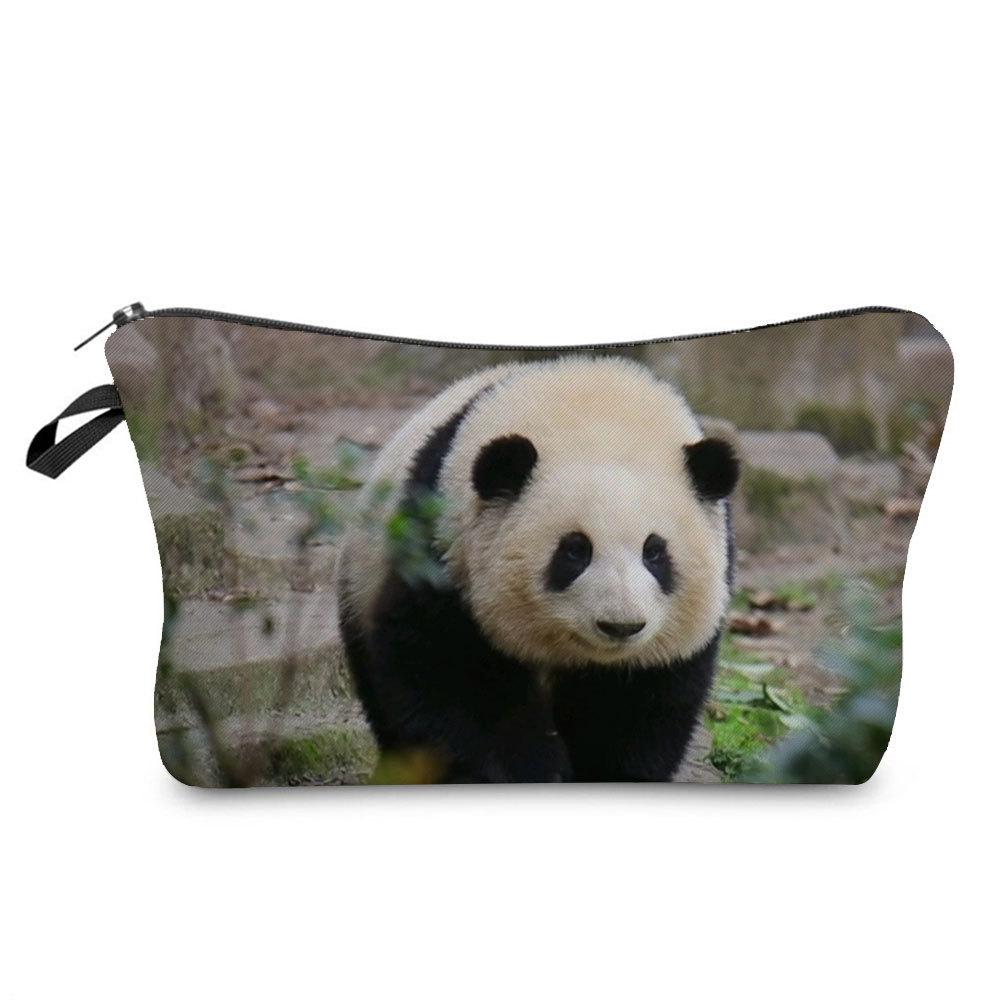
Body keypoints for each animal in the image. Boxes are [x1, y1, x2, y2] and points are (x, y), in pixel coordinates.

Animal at [337, 356, 739, 782]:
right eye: (575, 551)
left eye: (655, 553)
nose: (620, 626)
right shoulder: (442, 550)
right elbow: (449, 675)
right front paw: (530, 770)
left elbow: (634, 708)